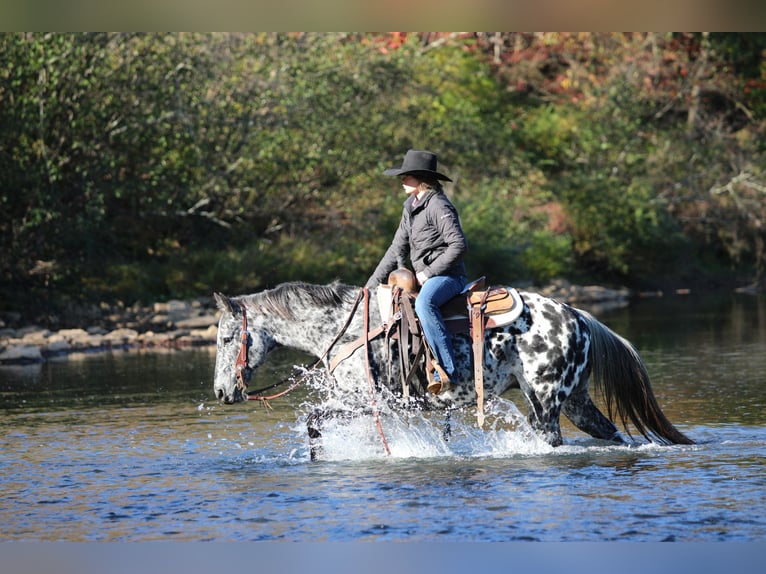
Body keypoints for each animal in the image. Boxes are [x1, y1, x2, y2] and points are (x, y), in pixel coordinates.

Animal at [212, 280, 693, 456]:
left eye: (224, 339)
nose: (220, 393)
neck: (345, 332)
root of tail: (576, 314)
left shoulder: (371, 403)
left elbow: (314, 421)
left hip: (545, 404)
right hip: (575, 401)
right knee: (612, 433)